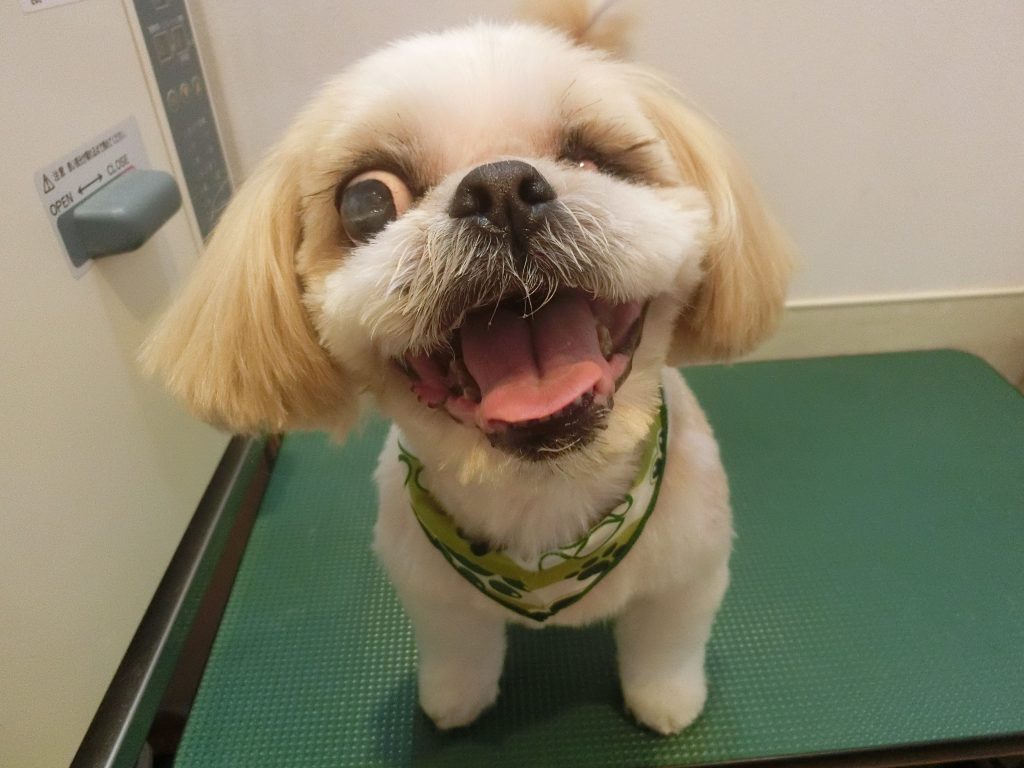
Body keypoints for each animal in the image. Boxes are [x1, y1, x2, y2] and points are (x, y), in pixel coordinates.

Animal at [143, 0, 791, 735]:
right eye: (365, 200)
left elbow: (665, 646)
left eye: (592, 156)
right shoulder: (435, 598)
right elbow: (460, 650)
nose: (501, 188)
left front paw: (666, 701)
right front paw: (453, 702)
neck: (546, 504)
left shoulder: (689, 575)